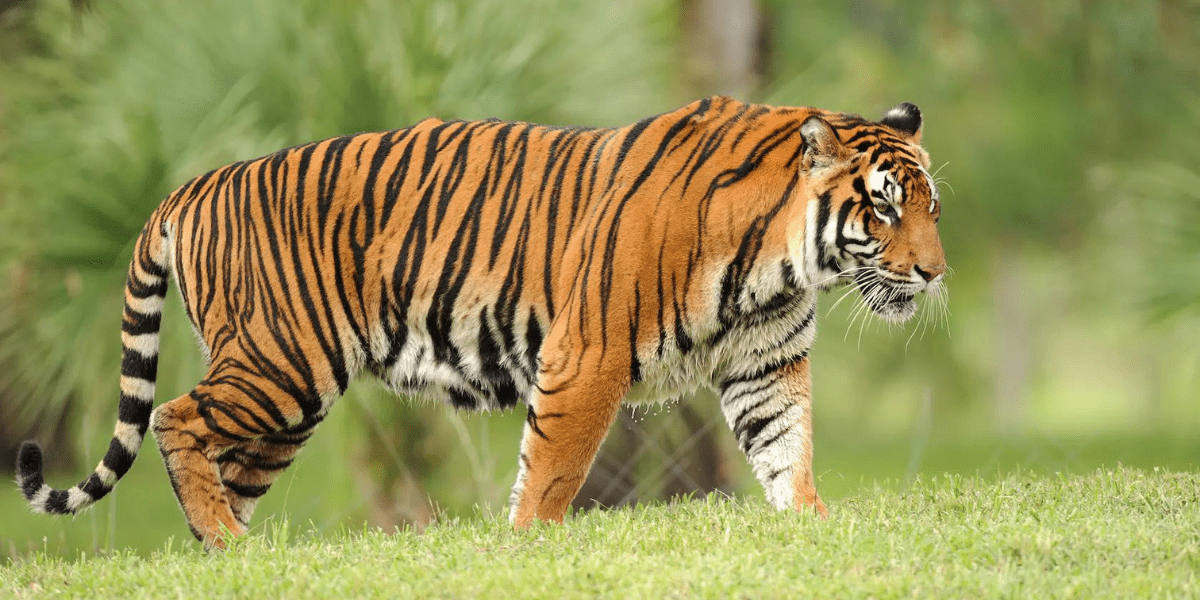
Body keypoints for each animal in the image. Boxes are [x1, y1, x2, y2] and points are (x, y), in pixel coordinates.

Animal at [16, 96, 946, 547]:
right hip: (280, 363)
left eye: (931, 207)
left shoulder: (766, 366)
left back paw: (229, 554)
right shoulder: (587, 355)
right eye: (885, 208)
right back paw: (222, 542)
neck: (779, 260)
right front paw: (529, 545)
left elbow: (788, 452)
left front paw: (811, 527)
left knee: (219, 464)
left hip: (287, 403)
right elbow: (553, 471)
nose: (935, 274)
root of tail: (194, 184)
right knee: (175, 418)